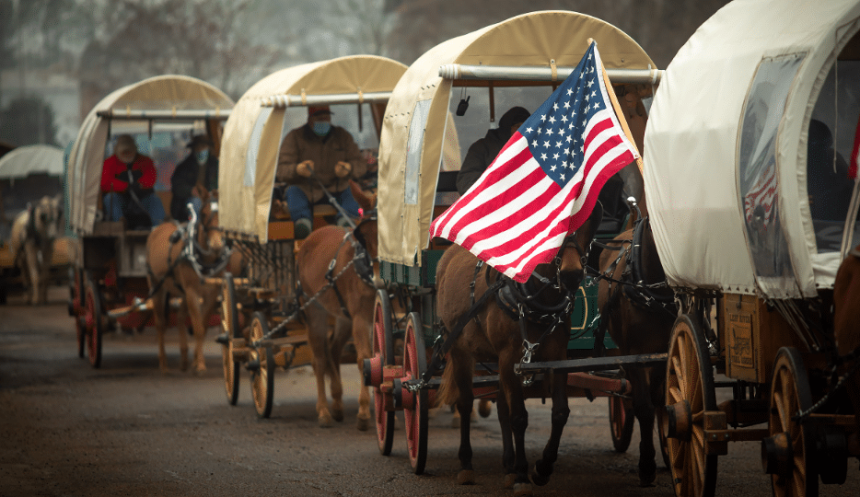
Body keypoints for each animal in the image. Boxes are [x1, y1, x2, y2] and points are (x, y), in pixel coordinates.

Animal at [144, 188, 233, 374]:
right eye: (204, 213)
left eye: (222, 213)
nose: (216, 245)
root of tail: (158, 227)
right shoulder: (192, 292)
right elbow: (198, 327)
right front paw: (200, 364)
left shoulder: (212, 293)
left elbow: (203, 325)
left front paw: (195, 360)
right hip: (157, 286)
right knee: (160, 324)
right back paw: (163, 363)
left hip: (181, 291)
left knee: (179, 318)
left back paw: (184, 359)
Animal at [296, 180, 376, 428]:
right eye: (363, 236)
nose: (377, 277)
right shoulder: (361, 317)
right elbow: (365, 359)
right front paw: (364, 411)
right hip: (314, 310)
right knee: (319, 360)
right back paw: (323, 411)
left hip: (342, 316)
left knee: (333, 349)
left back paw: (338, 404)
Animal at [436, 203, 604, 494]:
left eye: (587, 218)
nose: (571, 275)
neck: (536, 297)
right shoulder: (509, 357)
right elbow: (519, 417)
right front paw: (524, 475)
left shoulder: (556, 357)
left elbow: (559, 412)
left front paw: (542, 468)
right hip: (459, 350)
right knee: (466, 402)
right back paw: (467, 464)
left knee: (502, 407)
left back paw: (508, 466)